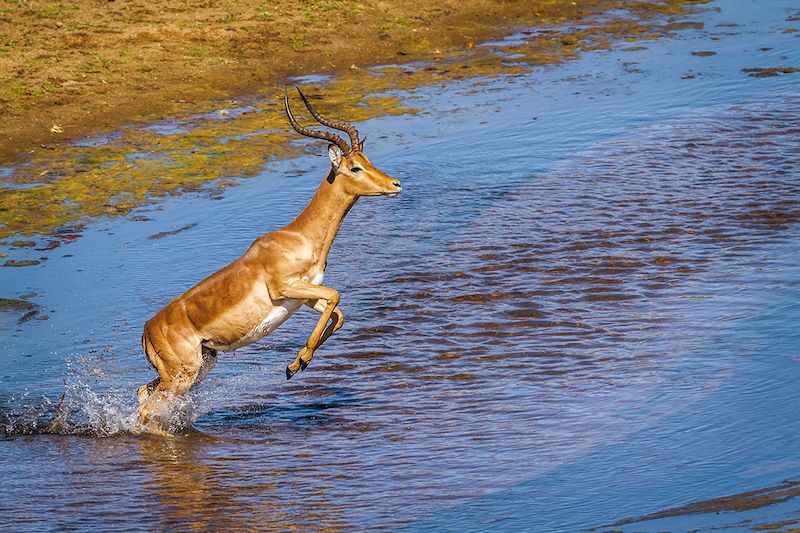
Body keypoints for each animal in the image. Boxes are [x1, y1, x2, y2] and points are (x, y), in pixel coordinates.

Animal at [138, 86, 404, 428]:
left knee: (142, 394)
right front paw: (300, 362)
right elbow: (336, 295)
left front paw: (295, 365)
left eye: (366, 159)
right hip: (182, 375)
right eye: (354, 167)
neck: (299, 238)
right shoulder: (286, 288)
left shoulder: (304, 295)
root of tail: (147, 330)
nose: (395, 184)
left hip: (198, 366)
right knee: (147, 409)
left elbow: (338, 313)